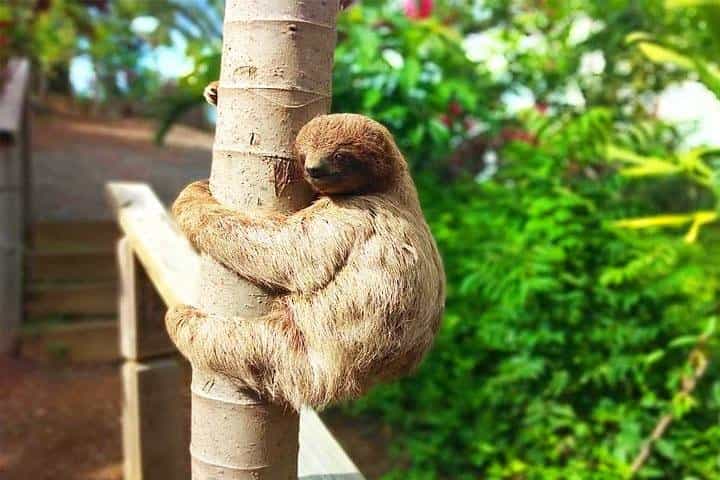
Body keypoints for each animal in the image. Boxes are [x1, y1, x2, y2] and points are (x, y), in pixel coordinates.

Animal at [166, 93, 445, 411]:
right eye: (304, 155)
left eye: (340, 156)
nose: (314, 168)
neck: (390, 185)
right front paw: (214, 92)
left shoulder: (352, 214)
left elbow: (284, 251)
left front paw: (192, 197)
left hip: (297, 359)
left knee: (227, 339)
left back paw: (181, 316)